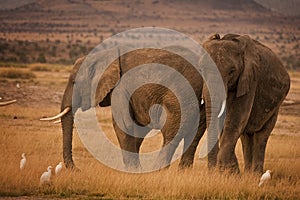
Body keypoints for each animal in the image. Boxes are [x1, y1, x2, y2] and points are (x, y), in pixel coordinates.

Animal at [41, 48, 211, 170]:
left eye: (74, 82)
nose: (77, 169)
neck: (105, 56)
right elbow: (137, 128)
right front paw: (136, 169)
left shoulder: (121, 88)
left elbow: (123, 125)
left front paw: (133, 171)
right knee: (195, 130)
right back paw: (183, 170)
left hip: (177, 94)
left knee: (172, 132)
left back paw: (158, 170)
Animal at [202, 33, 290, 173]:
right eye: (201, 69)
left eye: (232, 71)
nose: (212, 170)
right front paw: (231, 171)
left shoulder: (250, 79)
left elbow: (235, 119)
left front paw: (228, 171)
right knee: (246, 137)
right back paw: (247, 173)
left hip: (275, 108)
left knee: (261, 136)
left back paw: (255, 174)